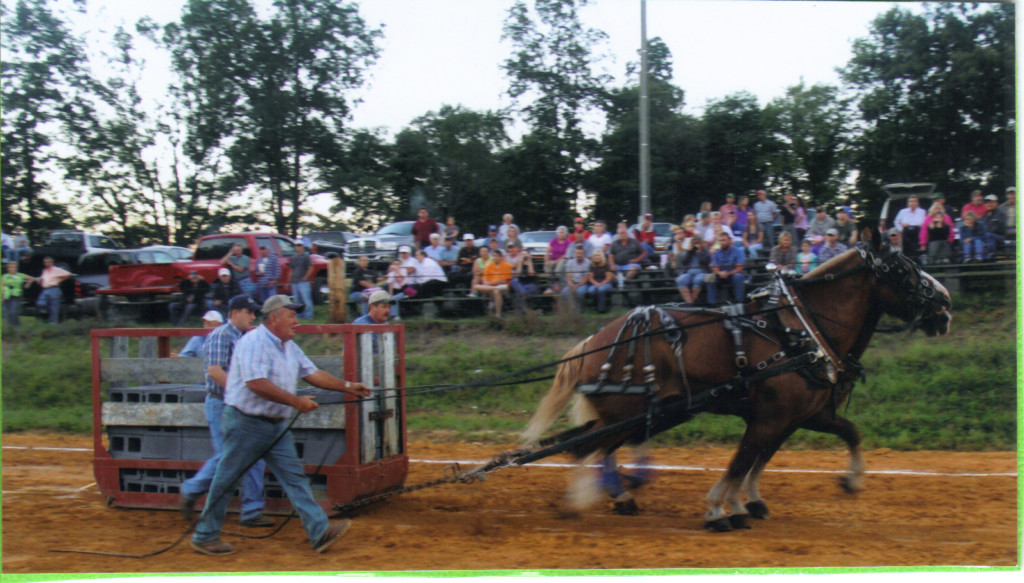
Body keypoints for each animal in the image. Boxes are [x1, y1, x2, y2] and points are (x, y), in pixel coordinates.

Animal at [524, 227, 954, 528]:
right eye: (903, 270)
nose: (946, 307)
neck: (801, 331)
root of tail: (594, 341)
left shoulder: (804, 416)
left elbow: (837, 437)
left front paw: (847, 483)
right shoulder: (770, 417)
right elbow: (742, 460)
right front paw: (720, 509)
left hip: (648, 412)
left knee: (596, 448)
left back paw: (618, 498)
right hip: (627, 412)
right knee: (588, 449)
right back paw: (580, 504)